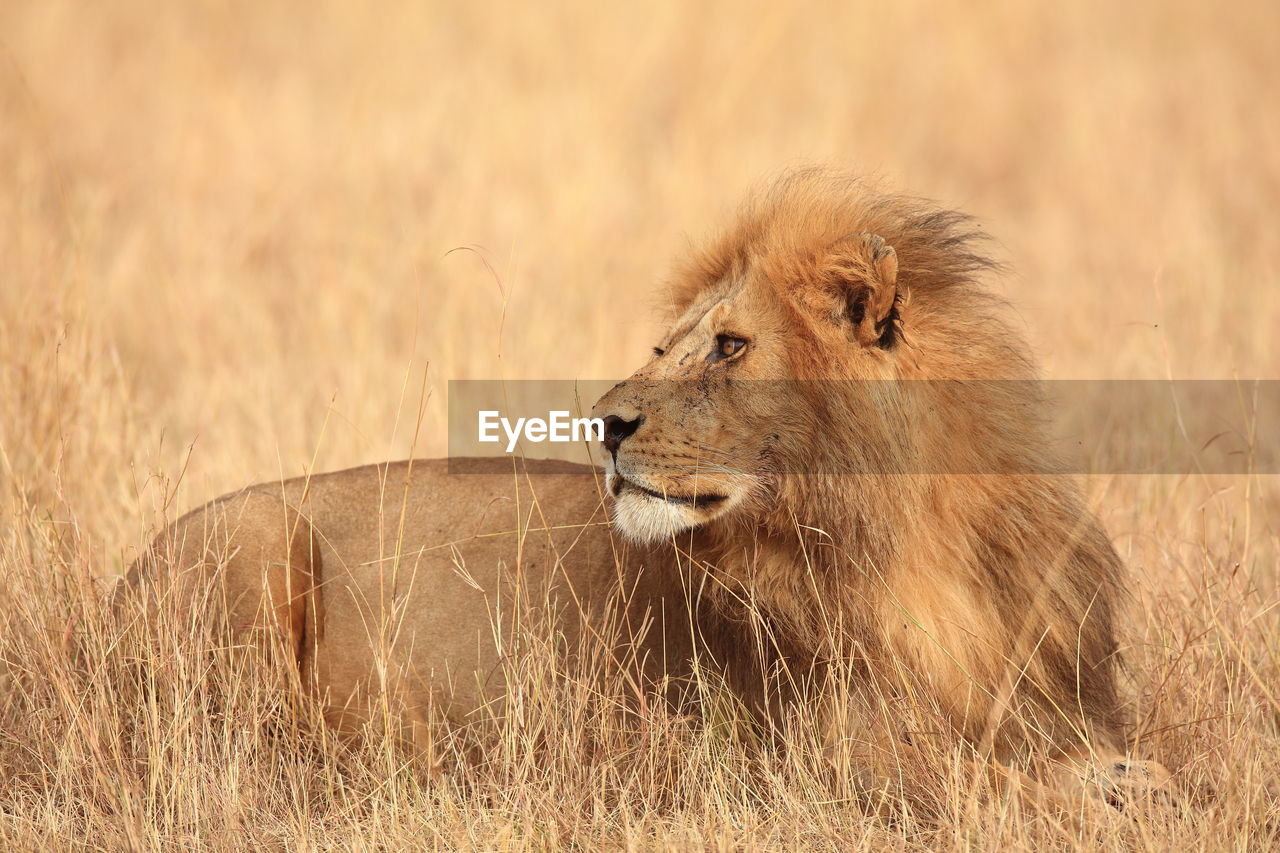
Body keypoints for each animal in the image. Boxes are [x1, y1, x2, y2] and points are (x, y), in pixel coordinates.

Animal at [127, 169, 1172, 809]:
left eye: (731, 346)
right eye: (667, 345)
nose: (604, 423)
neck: (910, 546)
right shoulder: (832, 759)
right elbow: (995, 787)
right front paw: (1109, 795)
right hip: (255, 548)